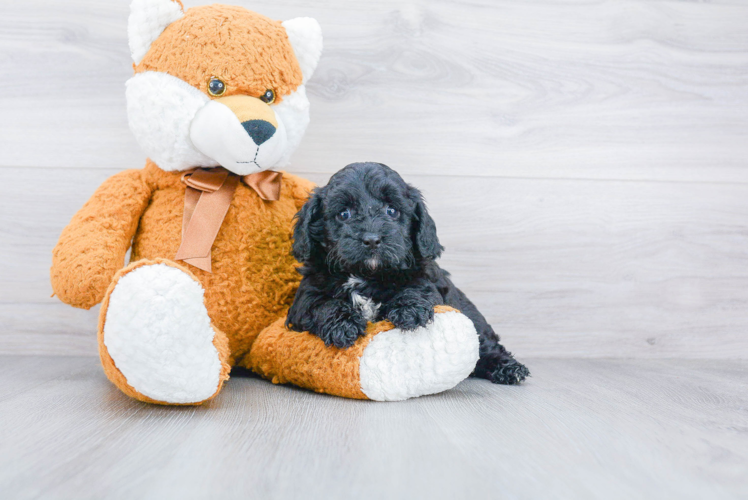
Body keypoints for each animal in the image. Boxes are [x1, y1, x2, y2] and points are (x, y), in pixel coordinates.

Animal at [288, 162, 532, 384]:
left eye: (392, 211)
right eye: (344, 214)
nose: (372, 239)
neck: (367, 274)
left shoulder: (427, 280)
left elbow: (417, 288)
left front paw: (409, 310)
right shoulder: (303, 299)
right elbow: (321, 304)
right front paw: (343, 325)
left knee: (487, 345)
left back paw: (509, 368)